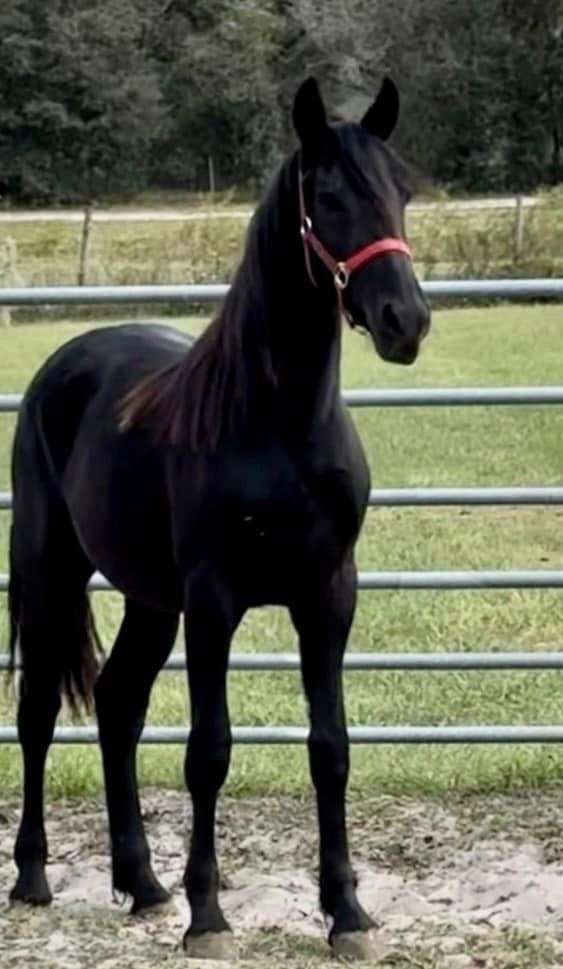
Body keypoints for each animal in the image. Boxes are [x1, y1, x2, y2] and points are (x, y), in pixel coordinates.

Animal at [7, 79, 432, 956]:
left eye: (402, 190)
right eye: (328, 196)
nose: (403, 321)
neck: (278, 423)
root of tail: (63, 363)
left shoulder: (328, 596)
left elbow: (330, 748)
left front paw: (346, 911)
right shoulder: (213, 599)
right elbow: (209, 750)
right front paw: (207, 915)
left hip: (148, 598)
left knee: (118, 705)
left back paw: (141, 883)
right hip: (52, 572)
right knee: (38, 712)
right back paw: (33, 876)